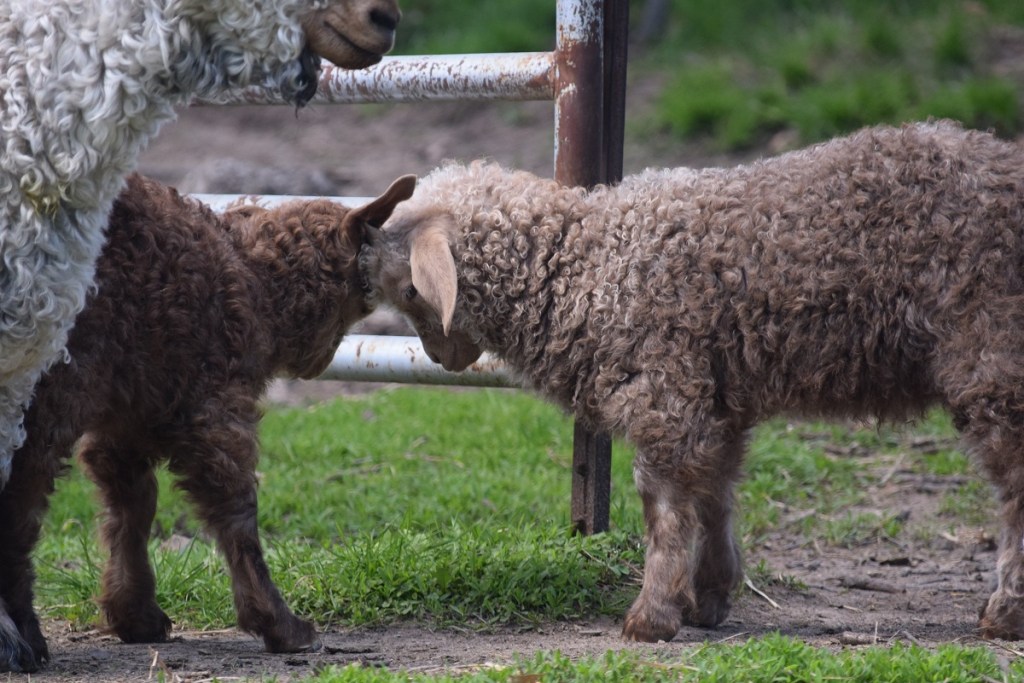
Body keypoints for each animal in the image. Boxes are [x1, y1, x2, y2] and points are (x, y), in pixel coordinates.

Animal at [0, 172, 416, 671]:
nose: (322, 361)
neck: (254, 280)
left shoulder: (132, 408)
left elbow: (132, 505)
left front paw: (135, 614)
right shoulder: (212, 401)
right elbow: (235, 509)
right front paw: (281, 625)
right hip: (42, 381)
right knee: (20, 504)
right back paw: (22, 639)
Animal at [358, 120, 1024, 643]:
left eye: (410, 290)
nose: (440, 356)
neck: (590, 267)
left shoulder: (666, 391)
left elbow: (665, 509)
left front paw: (651, 617)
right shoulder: (717, 396)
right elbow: (714, 496)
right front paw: (710, 597)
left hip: (992, 351)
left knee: (1015, 484)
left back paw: (1004, 613)